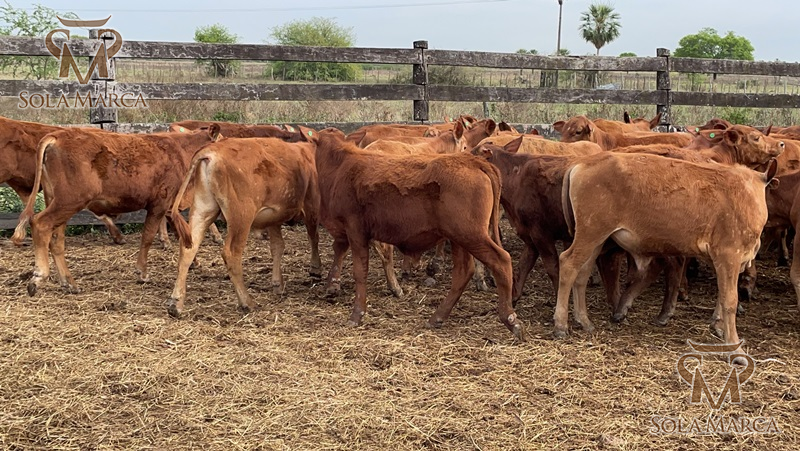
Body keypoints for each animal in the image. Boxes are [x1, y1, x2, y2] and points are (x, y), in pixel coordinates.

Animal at [11, 125, 221, 295]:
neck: (179, 150)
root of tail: (57, 136)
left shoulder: (169, 208)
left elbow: (182, 234)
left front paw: (193, 261)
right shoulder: (160, 205)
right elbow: (148, 237)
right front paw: (142, 272)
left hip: (57, 202)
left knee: (56, 240)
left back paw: (69, 282)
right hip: (68, 201)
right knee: (40, 224)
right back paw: (39, 276)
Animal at [166, 134, 321, 317]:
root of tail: (211, 151)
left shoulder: (274, 217)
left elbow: (278, 247)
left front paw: (278, 283)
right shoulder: (312, 206)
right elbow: (313, 236)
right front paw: (316, 267)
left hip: (203, 210)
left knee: (188, 249)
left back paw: (176, 303)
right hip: (241, 217)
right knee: (231, 254)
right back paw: (247, 301)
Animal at [313, 129, 524, 339]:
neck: (341, 164)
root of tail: (474, 162)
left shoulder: (355, 230)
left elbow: (360, 271)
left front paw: (357, 314)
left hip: (473, 236)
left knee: (502, 261)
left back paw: (511, 320)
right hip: (460, 239)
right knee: (463, 271)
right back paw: (438, 317)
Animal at [556, 151, 778, 361]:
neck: (749, 193)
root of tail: (585, 162)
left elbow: (722, 296)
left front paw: (718, 326)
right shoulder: (728, 254)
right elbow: (729, 300)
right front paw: (735, 349)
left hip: (596, 238)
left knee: (582, 274)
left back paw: (584, 320)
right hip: (591, 232)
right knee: (568, 264)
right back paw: (560, 324)